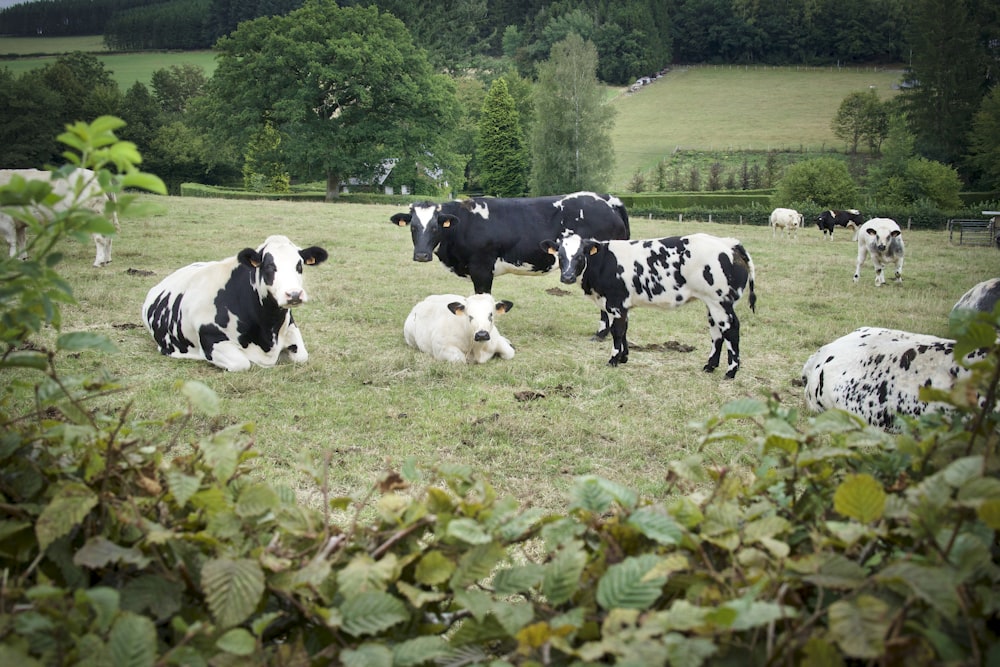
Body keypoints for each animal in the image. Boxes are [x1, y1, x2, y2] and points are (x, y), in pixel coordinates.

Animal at [143, 234, 328, 370]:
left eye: (299, 265)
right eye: (268, 266)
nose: (294, 294)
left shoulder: (291, 329)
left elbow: (302, 356)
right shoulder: (211, 339)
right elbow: (242, 363)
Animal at [388, 192, 628, 340]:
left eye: (435, 226)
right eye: (413, 226)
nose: (421, 255)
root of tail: (607, 199)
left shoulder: (482, 268)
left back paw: (601, 334)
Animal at [544, 232, 752, 378]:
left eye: (580, 256)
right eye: (560, 256)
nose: (567, 277)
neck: (603, 263)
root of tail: (728, 244)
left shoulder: (615, 303)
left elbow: (616, 331)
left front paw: (613, 360)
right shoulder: (623, 305)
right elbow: (625, 330)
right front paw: (624, 357)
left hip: (720, 303)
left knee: (731, 330)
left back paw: (731, 371)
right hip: (712, 303)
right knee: (716, 333)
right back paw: (710, 366)